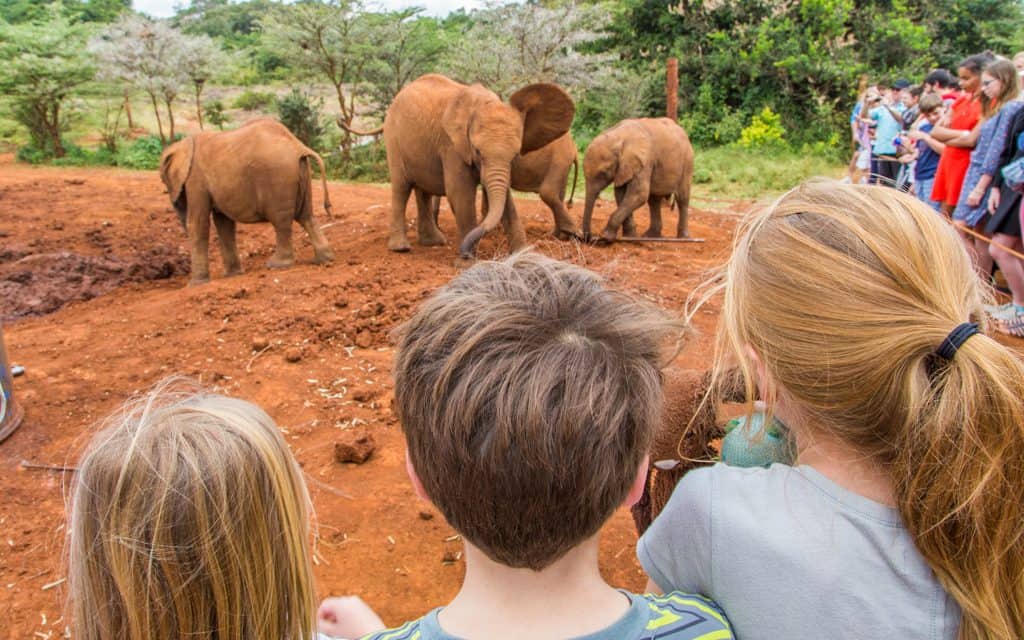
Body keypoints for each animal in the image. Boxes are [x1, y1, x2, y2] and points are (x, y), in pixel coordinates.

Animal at [159, 118, 335, 286]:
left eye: (163, 180)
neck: (183, 144)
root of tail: (299, 147)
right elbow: (224, 223)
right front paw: (233, 275)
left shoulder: (195, 180)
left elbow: (198, 223)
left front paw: (195, 285)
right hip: (302, 172)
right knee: (306, 217)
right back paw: (323, 260)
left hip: (277, 177)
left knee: (281, 222)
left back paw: (276, 265)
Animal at [340, 74, 574, 261]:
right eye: (478, 151)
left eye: (516, 154)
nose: (466, 252)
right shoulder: (452, 145)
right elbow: (460, 193)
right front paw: (468, 262)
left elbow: (506, 198)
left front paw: (523, 255)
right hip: (394, 140)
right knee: (401, 187)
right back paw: (401, 249)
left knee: (422, 190)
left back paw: (434, 243)